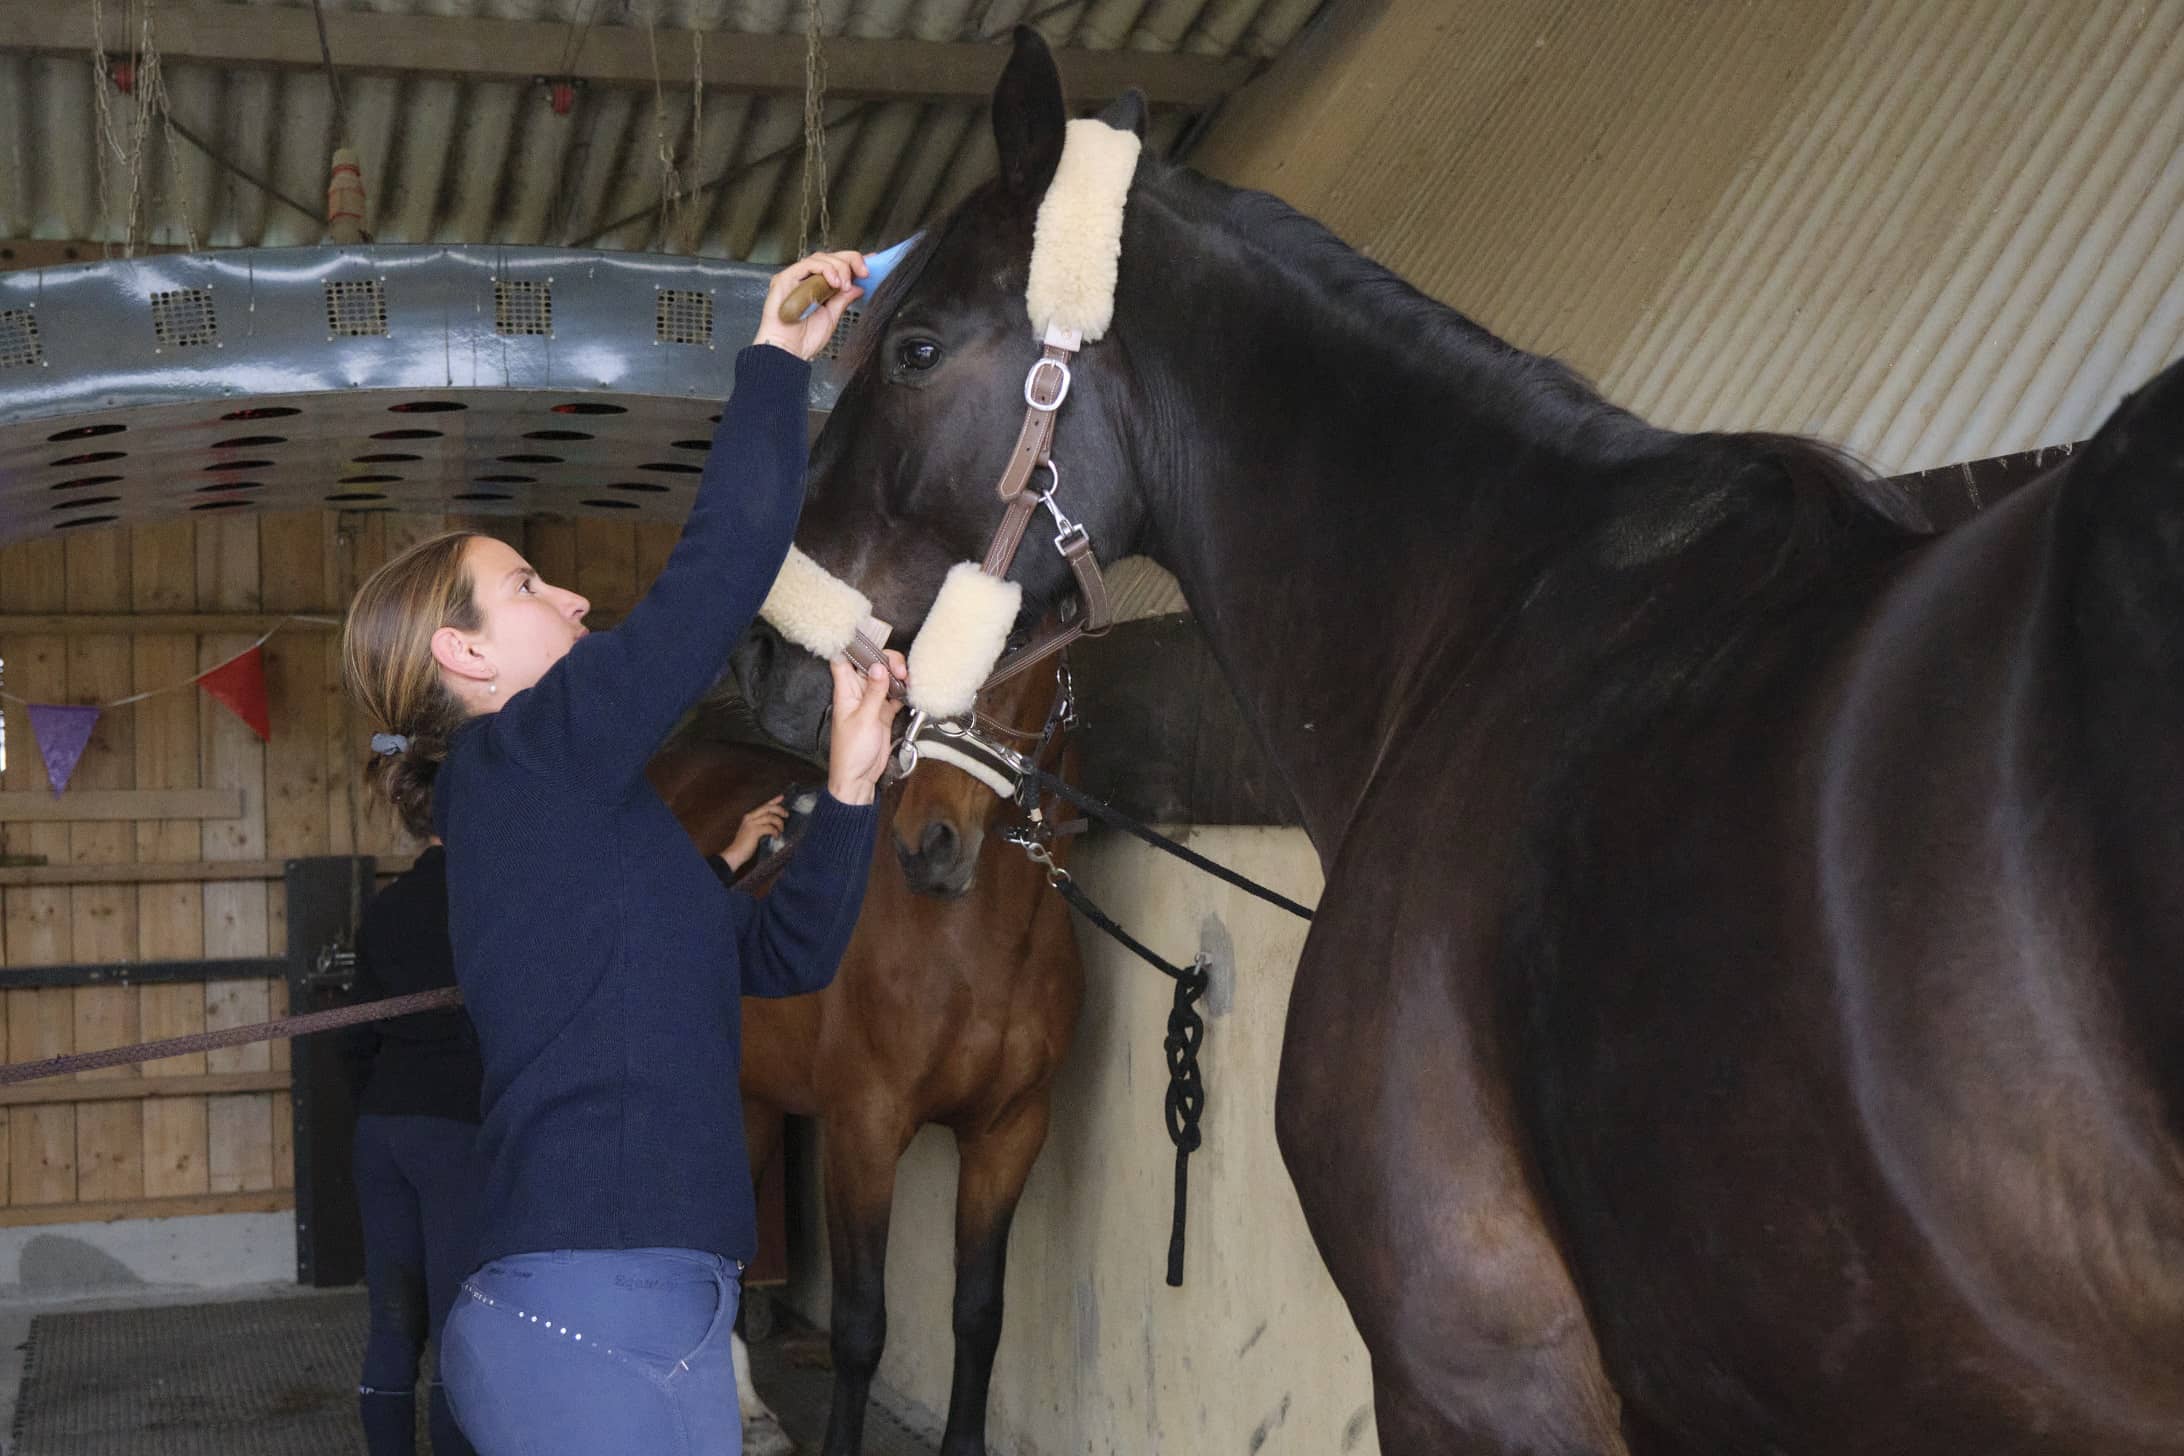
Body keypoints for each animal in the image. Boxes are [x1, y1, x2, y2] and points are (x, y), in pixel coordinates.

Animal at [646, 667, 1092, 1456]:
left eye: (1023, 650)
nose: (930, 845)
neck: (973, 946)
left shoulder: (1010, 1133)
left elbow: (980, 1313)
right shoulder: (863, 1134)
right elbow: (859, 1326)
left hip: (750, 1095)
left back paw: (744, 1410)